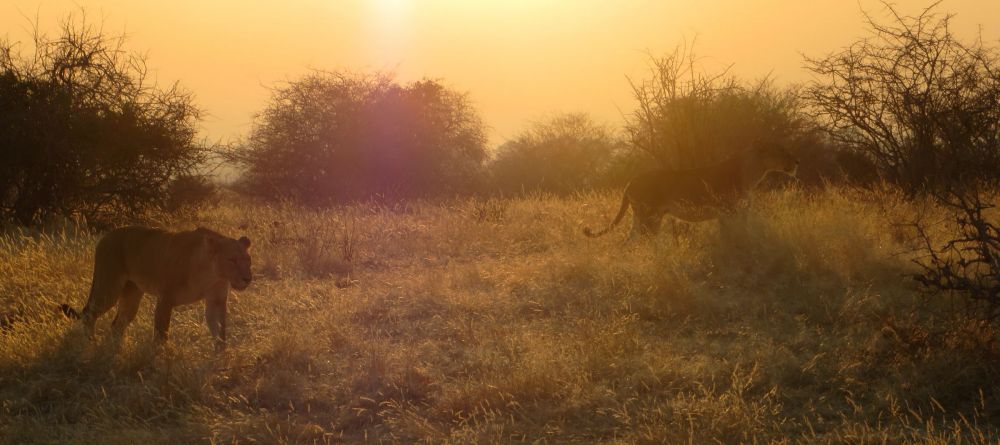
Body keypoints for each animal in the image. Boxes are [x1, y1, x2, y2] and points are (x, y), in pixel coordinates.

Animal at [66, 226, 252, 351]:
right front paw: (159, 359)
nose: (248, 279)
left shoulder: (216, 300)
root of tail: (105, 236)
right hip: (108, 287)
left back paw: (117, 349)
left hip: (131, 294)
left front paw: (221, 360)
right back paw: (90, 343)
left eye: (248, 260)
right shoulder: (165, 299)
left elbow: (220, 331)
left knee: (117, 324)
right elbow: (161, 334)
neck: (210, 273)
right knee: (89, 313)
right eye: (232, 260)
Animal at [584, 144, 798, 240]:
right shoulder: (727, 211)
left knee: (631, 240)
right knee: (644, 239)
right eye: (781, 151)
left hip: (643, 217)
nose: (797, 161)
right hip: (650, 216)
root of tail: (630, 182)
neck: (753, 171)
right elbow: (730, 235)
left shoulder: (737, 212)